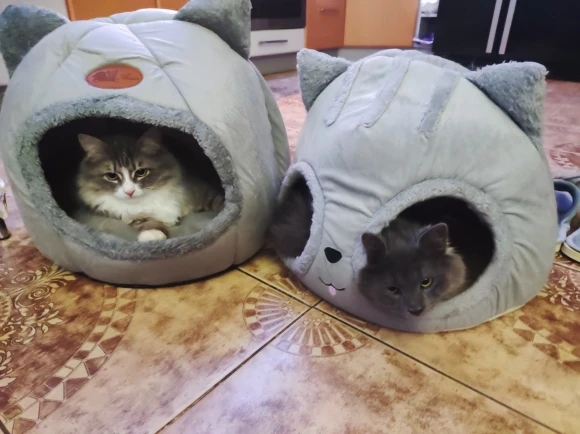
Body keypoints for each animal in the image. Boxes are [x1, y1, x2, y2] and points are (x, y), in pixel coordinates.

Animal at [76, 127, 224, 242]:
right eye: (112, 176)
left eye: (141, 172)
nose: (129, 192)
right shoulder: (125, 215)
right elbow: (146, 221)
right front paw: (152, 235)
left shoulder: (203, 192)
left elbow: (220, 201)